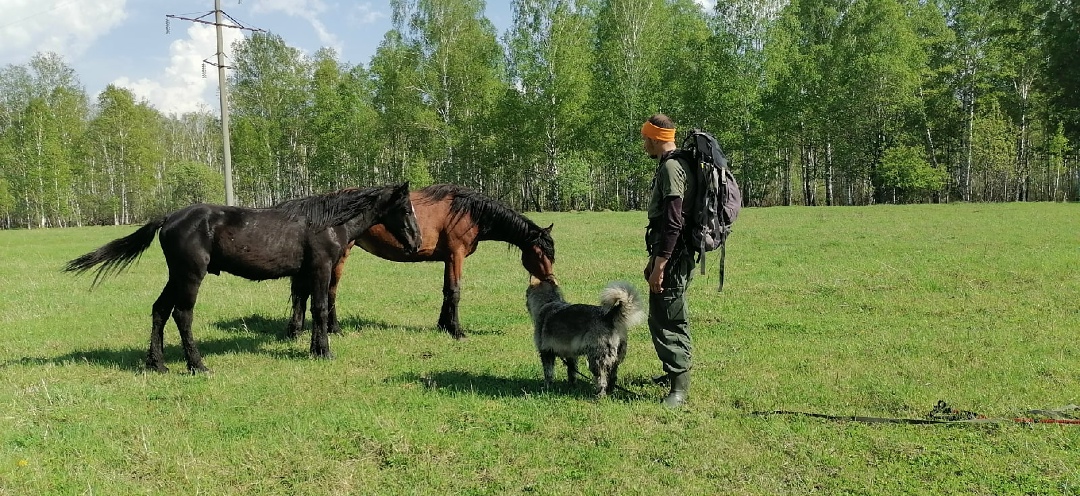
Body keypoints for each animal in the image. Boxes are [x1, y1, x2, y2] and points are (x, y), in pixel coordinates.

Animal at [64, 182, 421, 373]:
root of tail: (169, 218)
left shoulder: (306, 274)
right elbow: (319, 310)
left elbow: (306, 307)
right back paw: (197, 365)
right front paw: (324, 351)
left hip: (175, 277)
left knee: (160, 311)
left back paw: (158, 363)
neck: (327, 222)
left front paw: (312, 348)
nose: (416, 243)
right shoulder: (320, 269)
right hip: (190, 276)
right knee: (182, 314)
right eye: (405, 209)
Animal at [287, 183, 556, 340]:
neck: (468, 212)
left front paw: (444, 325)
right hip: (340, 257)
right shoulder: (456, 255)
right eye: (540, 253)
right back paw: (333, 329)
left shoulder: (448, 259)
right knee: (330, 290)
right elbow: (455, 292)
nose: (551, 281)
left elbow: (447, 291)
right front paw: (457, 331)